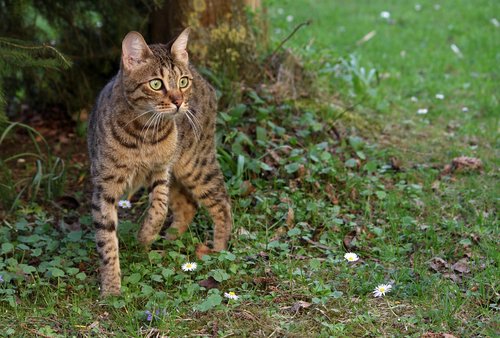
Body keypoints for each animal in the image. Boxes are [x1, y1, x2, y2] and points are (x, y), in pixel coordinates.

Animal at [87, 28, 232, 296]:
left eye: (182, 82)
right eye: (156, 84)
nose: (178, 101)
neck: (143, 133)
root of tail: (202, 76)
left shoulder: (161, 171)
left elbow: (159, 208)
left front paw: (145, 235)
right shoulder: (104, 186)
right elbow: (107, 241)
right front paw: (111, 289)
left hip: (195, 163)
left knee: (222, 201)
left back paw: (218, 249)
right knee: (188, 206)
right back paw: (170, 241)